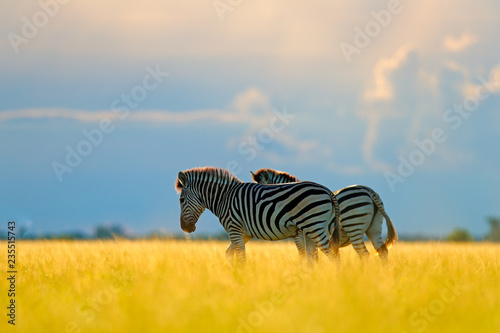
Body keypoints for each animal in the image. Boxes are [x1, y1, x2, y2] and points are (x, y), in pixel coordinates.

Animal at [174, 166, 342, 264]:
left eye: (181, 200)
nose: (185, 228)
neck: (224, 197)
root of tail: (327, 191)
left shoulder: (234, 229)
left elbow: (242, 258)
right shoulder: (245, 233)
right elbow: (229, 254)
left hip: (314, 227)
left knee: (334, 257)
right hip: (313, 229)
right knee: (315, 259)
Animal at [252, 169, 396, 260]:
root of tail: (370, 191)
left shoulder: (300, 237)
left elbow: (305, 257)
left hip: (354, 226)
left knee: (364, 254)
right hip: (374, 227)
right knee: (382, 251)